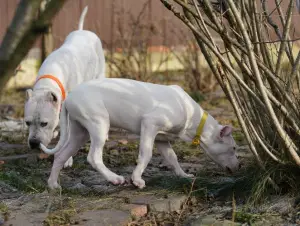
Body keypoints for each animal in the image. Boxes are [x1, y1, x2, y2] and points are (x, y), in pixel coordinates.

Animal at [40, 78, 241, 190]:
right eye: (233, 148)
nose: (239, 167)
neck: (194, 118)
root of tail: (69, 98)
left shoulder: (161, 139)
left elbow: (172, 157)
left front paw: (183, 175)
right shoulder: (149, 124)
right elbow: (146, 154)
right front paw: (137, 180)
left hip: (79, 132)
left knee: (60, 155)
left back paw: (53, 185)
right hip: (99, 124)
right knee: (94, 157)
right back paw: (115, 179)